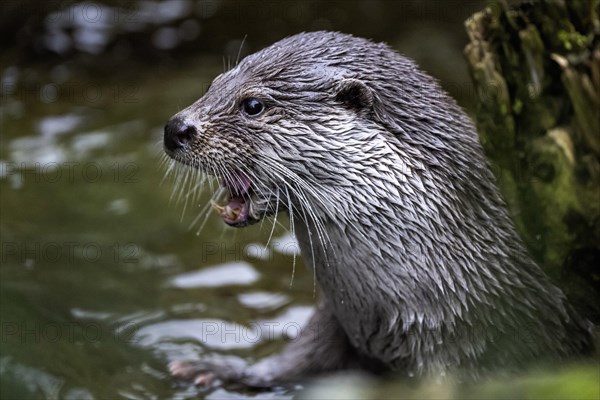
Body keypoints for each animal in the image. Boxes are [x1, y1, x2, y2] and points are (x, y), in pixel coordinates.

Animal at [161, 31, 596, 388]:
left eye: (253, 105)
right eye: (214, 84)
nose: (175, 128)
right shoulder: (335, 322)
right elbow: (297, 358)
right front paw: (217, 370)